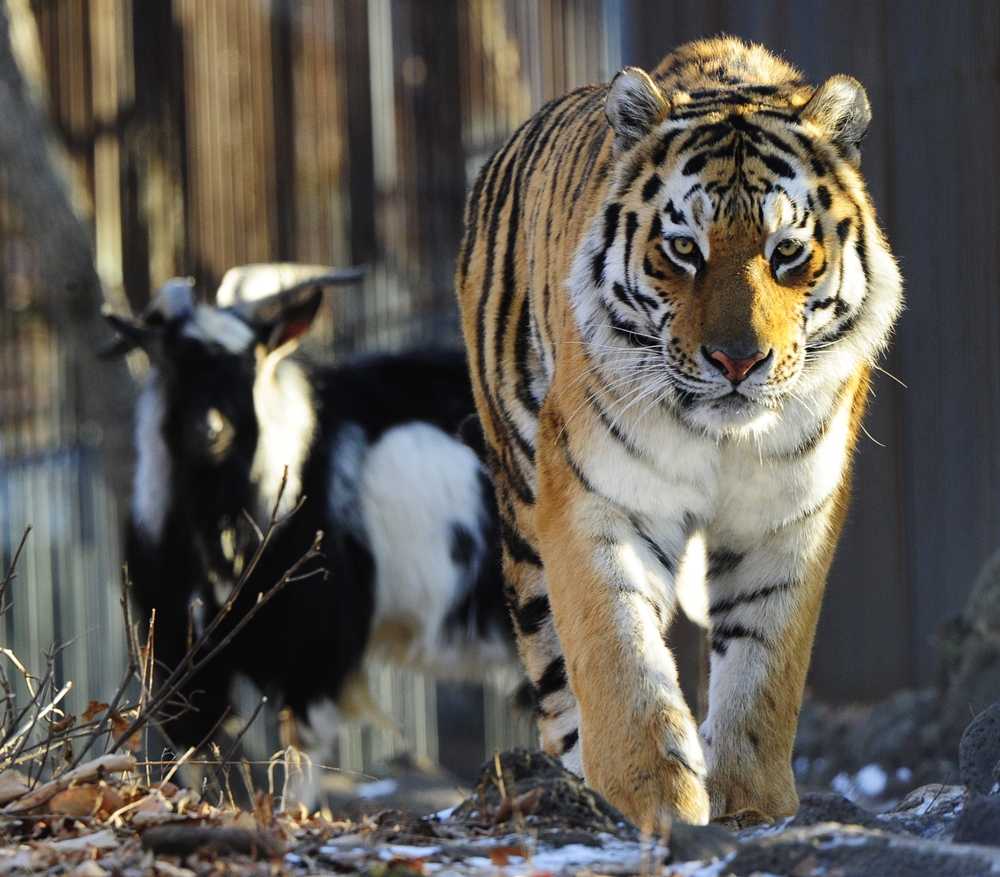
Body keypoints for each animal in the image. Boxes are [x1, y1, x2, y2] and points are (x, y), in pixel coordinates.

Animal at [103, 266, 516, 772]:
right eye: (174, 365)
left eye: (249, 365)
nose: (209, 431)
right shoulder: (179, 658)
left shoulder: (314, 650)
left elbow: (299, 763)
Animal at [458, 36, 904, 828]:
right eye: (685, 248)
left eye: (786, 250)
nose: (738, 360)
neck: (721, 439)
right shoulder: (596, 500)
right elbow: (619, 658)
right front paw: (654, 800)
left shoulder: (790, 516)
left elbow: (765, 669)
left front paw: (752, 807)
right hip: (521, 503)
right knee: (556, 672)